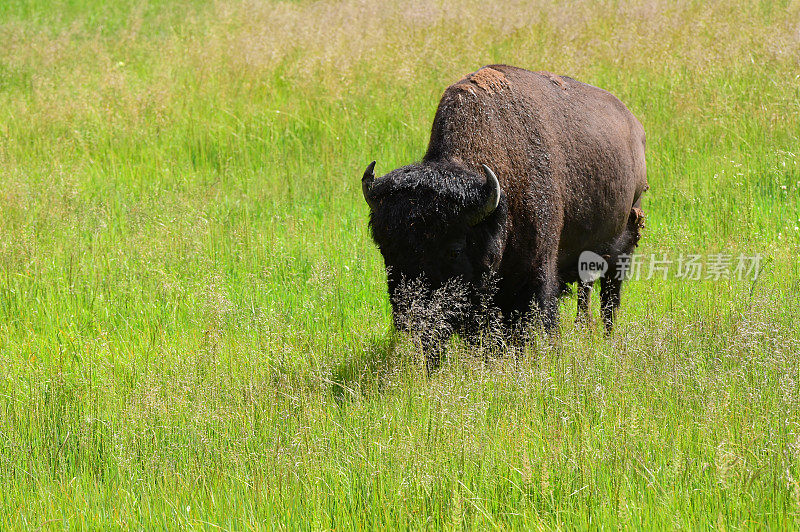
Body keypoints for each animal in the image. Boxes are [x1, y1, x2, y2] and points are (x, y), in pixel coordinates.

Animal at [360, 64, 648, 360]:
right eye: (385, 249)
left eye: (454, 250)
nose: (411, 319)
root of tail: (634, 125)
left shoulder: (537, 273)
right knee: (586, 290)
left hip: (625, 242)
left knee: (610, 297)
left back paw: (607, 337)